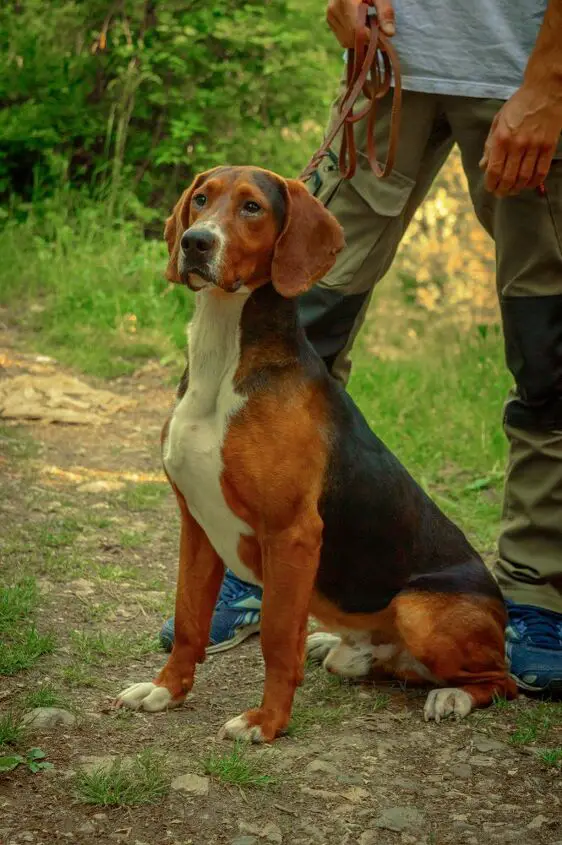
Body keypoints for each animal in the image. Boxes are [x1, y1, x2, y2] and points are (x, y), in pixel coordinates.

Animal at [116, 165, 516, 740]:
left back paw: (452, 696)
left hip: (418, 609)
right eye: (201, 199)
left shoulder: (293, 534)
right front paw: (167, 689)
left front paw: (267, 721)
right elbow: (190, 617)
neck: (225, 354)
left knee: (501, 680)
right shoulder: (196, 524)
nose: (195, 243)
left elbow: (278, 639)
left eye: (252, 207)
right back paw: (345, 647)